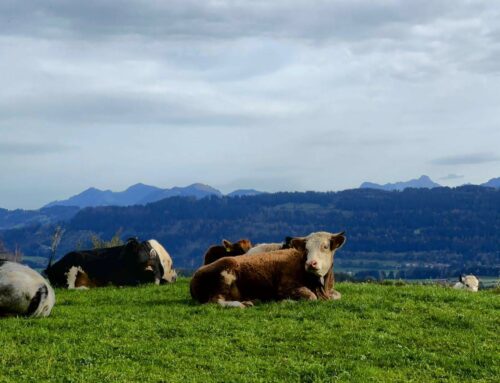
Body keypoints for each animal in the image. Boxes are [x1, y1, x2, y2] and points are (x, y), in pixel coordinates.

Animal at [189, 231, 346, 308]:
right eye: (306, 249)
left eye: (325, 246)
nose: (311, 263)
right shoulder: (285, 287)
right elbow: (311, 297)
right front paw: (285, 302)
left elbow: (338, 296)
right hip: (226, 271)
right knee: (215, 301)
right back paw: (240, 304)